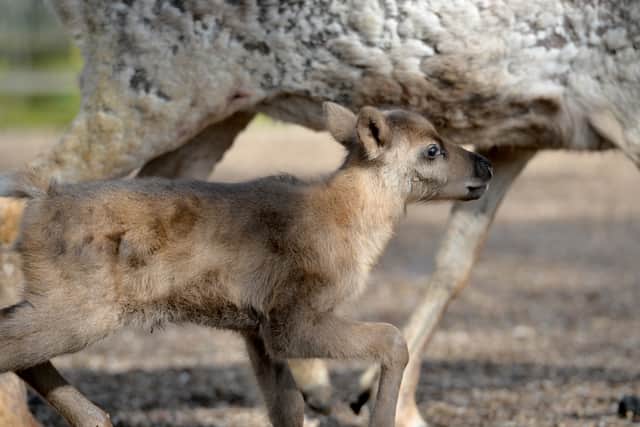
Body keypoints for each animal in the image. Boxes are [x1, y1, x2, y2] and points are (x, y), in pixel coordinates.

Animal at [0, 103, 493, 427]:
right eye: (432, 150)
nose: (485, 166)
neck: (347, 218)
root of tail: (43, 197)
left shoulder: (257, 328)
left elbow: (287, 407)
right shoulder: (292, 319)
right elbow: (393, 340)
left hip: (56, 301)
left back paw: (95, 418)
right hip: (84, 311)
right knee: (13, 346)